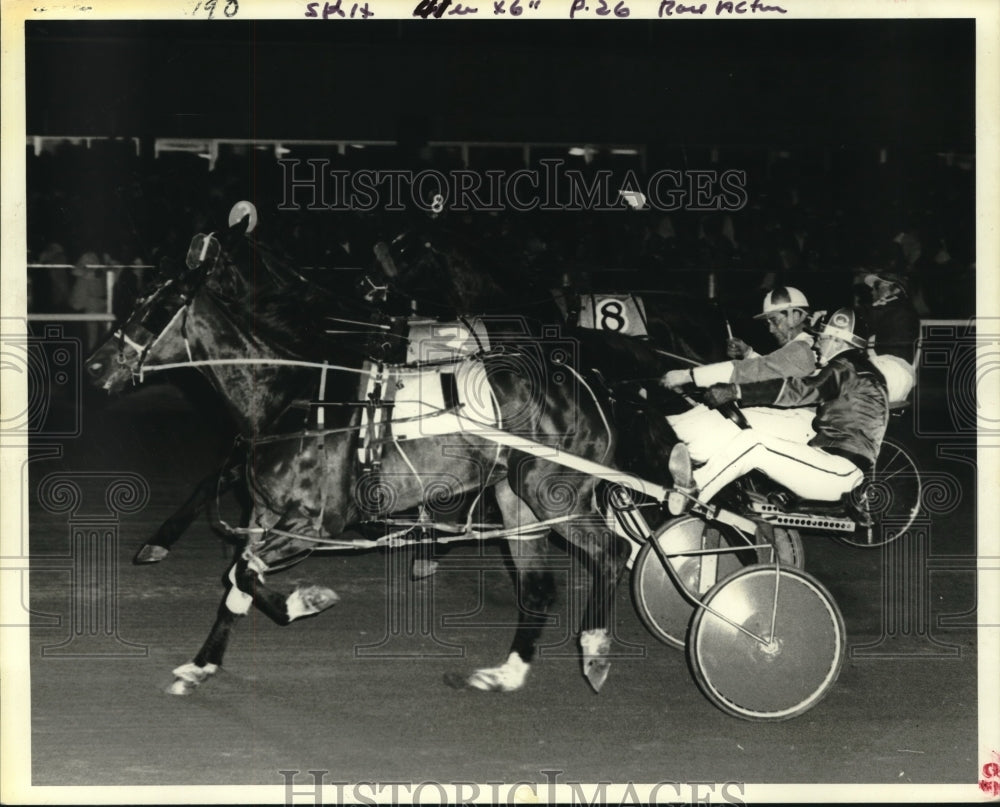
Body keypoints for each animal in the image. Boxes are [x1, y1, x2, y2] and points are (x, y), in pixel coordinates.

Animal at [86, 213, 676, 696]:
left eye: (157, 307)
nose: (95, 366)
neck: (298, 390)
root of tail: (587, 378)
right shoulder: (265, 514)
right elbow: (237, 578)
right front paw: (201, 665)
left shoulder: (317, 523)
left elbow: (249, 573)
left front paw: (307, 600)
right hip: (516, 499)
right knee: (538, 585)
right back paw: (504, 673)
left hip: (551, 490)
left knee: (609, 553)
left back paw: (595, 646)